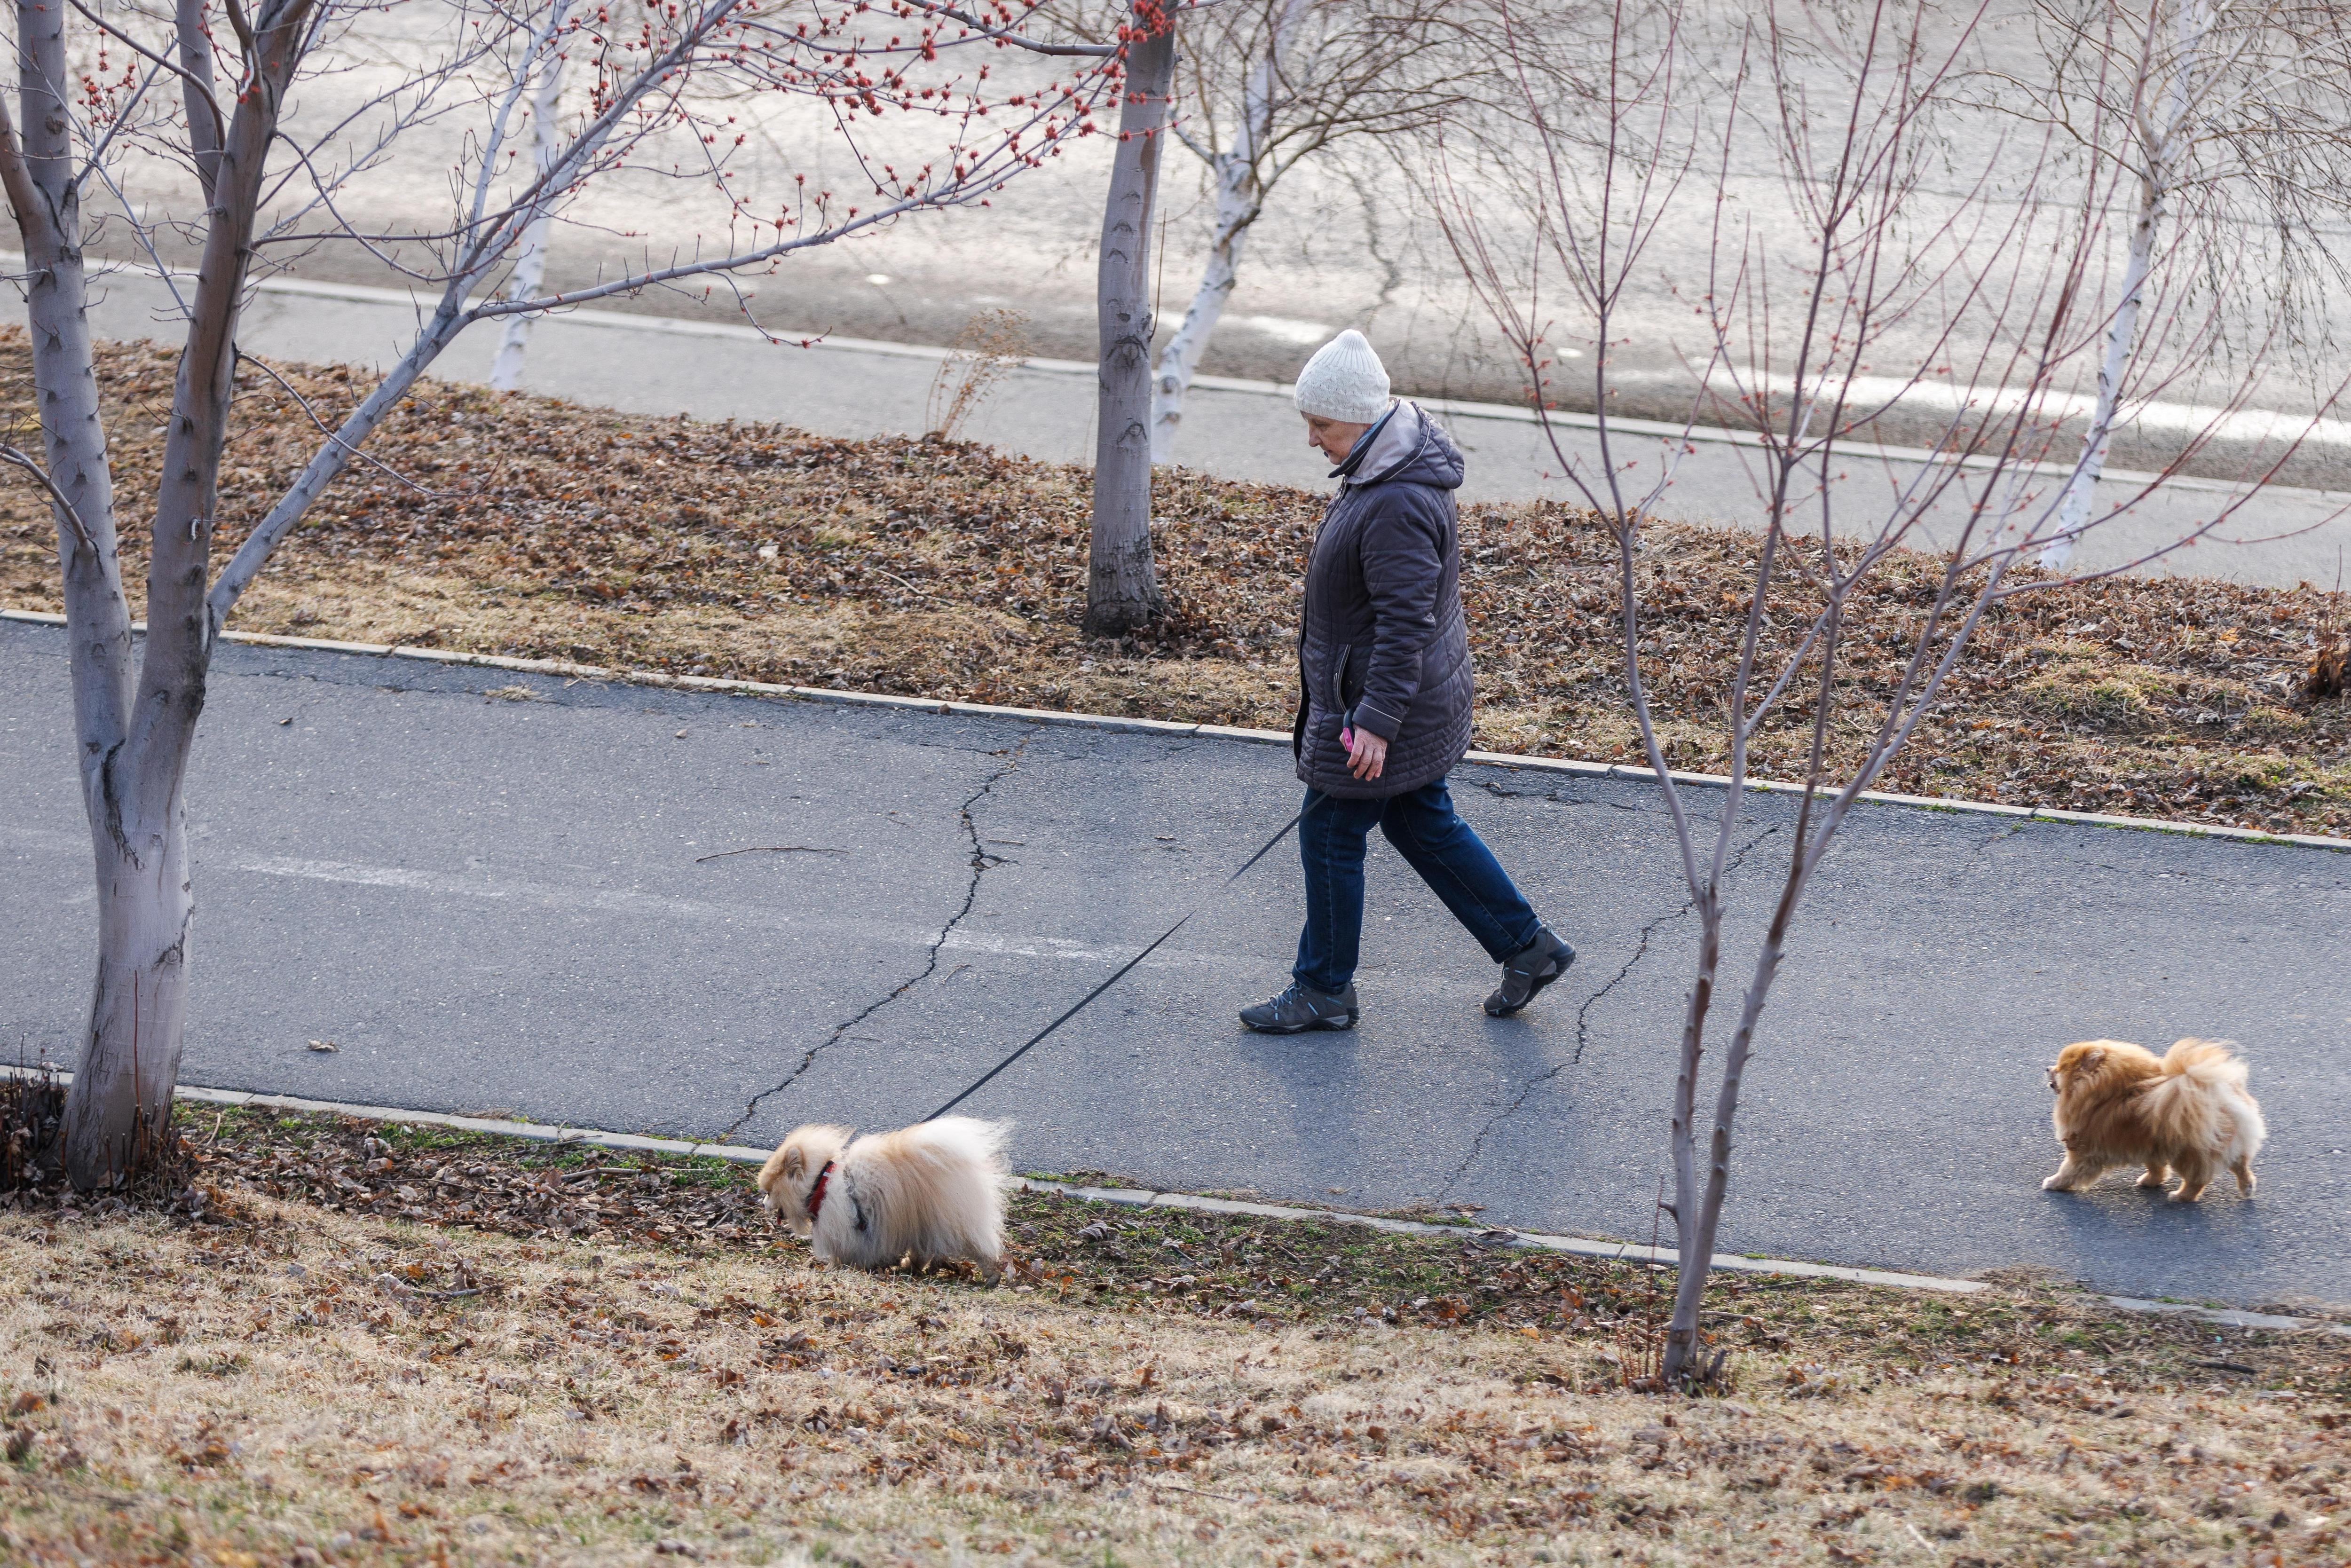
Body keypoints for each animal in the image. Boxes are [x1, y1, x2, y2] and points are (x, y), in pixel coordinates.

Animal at [757, 1114, 1006, 1279]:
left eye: (770, 1192)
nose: (763, 1204)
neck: (820, 1182)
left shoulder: (844, 1228)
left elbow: (842, 1253)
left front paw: (834, 1269)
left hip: (951, 1219)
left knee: (980, 1247)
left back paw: (991, 1276)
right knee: (923, 1251)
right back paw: (909, 1266)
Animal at [2050, 1044, 2266, 1204]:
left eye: (2059, 1069)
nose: (2047, 1069)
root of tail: (2222, 1099)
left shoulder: (2083, 1150)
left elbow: (2069, 1170)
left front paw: (2054, 1183)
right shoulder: (2151, 1145)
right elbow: (2156, 1168)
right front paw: (2151, 1181)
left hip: (2189, 1153)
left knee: (2197, 1180)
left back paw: (2180, 1197)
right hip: (2226, 1145)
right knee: (2240, 1165)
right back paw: (2248, 1188)